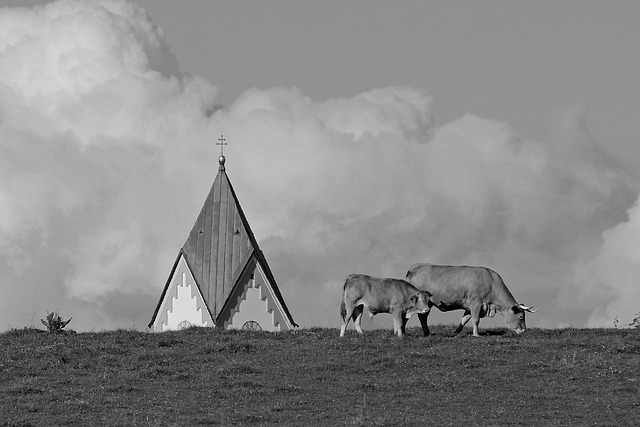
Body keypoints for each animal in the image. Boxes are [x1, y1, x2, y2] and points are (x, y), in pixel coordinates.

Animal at [404, 264, 536, 338]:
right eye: (521, 316)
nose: (524, 330)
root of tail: (415, 267)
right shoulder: (476, 304)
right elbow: (476, 320)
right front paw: (476, 335)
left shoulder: (469, 307)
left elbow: (465, 320)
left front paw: (456, 332)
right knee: (420, 317)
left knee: (423, 317)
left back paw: (427, 333)